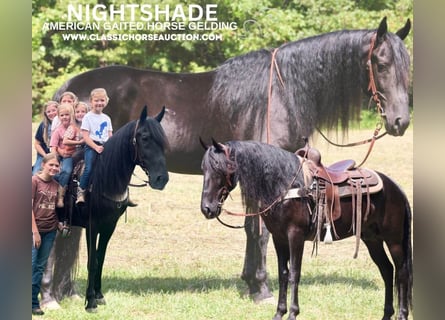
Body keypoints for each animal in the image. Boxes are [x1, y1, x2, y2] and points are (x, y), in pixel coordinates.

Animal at [58, 106, 168, 312]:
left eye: (163, 141)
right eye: (144, 138)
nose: (161, 179)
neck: (103, 178)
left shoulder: (109, 226)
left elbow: (100, 259)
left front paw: (99, 296)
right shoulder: (92, 226)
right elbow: (92, 261)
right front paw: (90, 302)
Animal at [199, 141, 412, 320]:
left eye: (223, 168)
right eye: (203, 169)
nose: (207, 208)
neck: (284, 186)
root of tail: (395, 187)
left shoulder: (296, 236)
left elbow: (295, 273)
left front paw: (293, 313)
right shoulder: (279, 238)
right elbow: (283, 274)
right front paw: (279, 313)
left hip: (393, 240)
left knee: (401, 272)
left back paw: (402, 314)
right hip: (372, 239)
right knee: (387, 270)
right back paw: (386, 314)